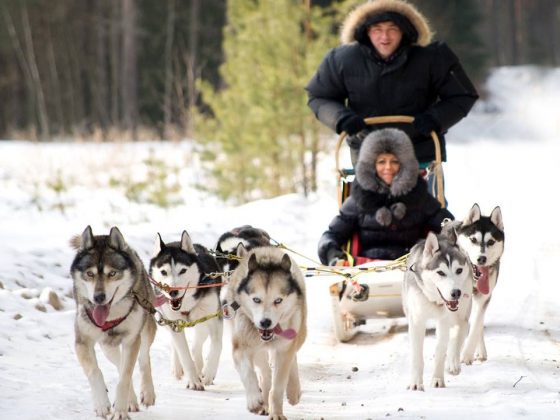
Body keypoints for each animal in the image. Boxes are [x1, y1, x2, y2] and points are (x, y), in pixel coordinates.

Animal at [71, 228, 158, 418]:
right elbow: (95, 371)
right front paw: (102, 404)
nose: (98, 297)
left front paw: (120, 412)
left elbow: (125, 377)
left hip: (146, 331)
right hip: (107, 346)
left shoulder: (131, 340)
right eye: (90, 274)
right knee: (119, 364)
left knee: (143, 359)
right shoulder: (82, 341)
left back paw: (146, 393)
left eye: (112, 273)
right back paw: (130, 401)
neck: (111, 316)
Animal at [224, 248, 306, 418]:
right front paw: (254, 400)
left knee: (292, 358)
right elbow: (248, 374)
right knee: (265, 373)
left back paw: (293, 390)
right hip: (256, 349)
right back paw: (264, 402)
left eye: (278, 300)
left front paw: (277, 414)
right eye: (256, 299)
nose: (265, 322)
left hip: (298, 336)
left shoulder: (284, 349)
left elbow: (278, 387)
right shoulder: (241, 348)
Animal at [402, 230, 472, 390]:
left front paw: (438, 378)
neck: (435, 302)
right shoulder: (417, 321)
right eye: (441, 273)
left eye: (459, 270)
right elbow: (416, 356)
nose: (456, 293)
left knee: (460, 331)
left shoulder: (446, 321)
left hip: (461, 314)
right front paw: (416, 383)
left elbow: (442, 350)